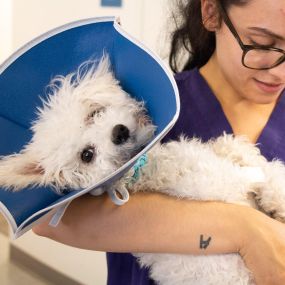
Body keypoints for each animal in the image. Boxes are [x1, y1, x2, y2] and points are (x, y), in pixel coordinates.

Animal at [0, 55, 284, 284]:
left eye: (94, 113)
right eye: (86, 155)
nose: (119, 132)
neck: (144, 170)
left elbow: (241, 153)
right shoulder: (211, 179)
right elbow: (253, 176)